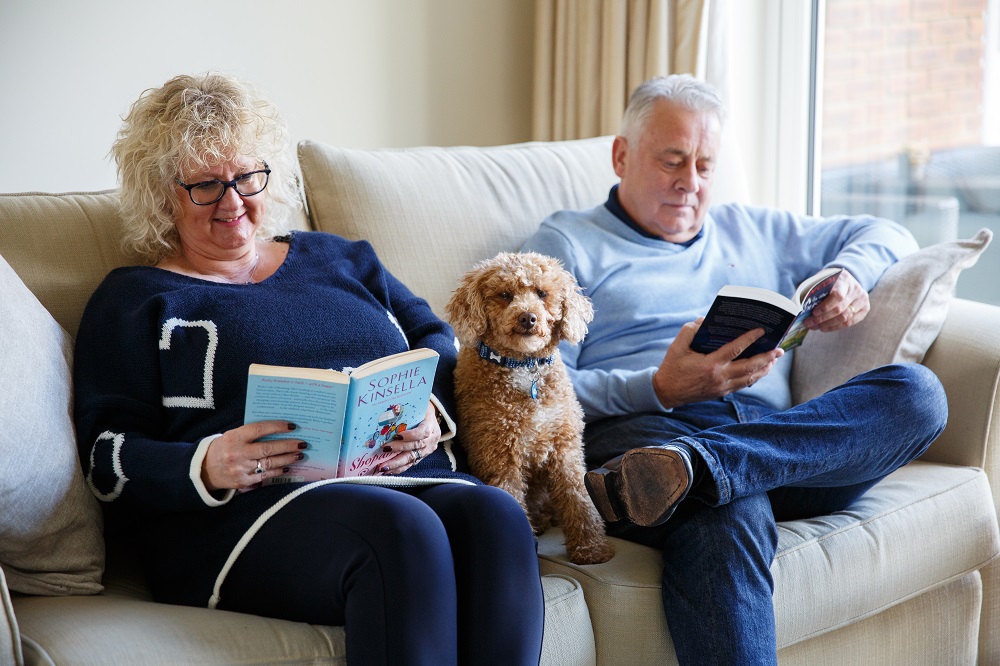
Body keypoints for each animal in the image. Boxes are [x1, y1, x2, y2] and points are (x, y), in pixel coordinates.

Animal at [448, 252, 616, 564]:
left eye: (541, 293)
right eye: (505, 295)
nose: (527, 317)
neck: (523, 366)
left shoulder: (565, 447)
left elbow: (578, 498)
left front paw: (591, 549)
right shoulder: (499, 456)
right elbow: (512, 500)